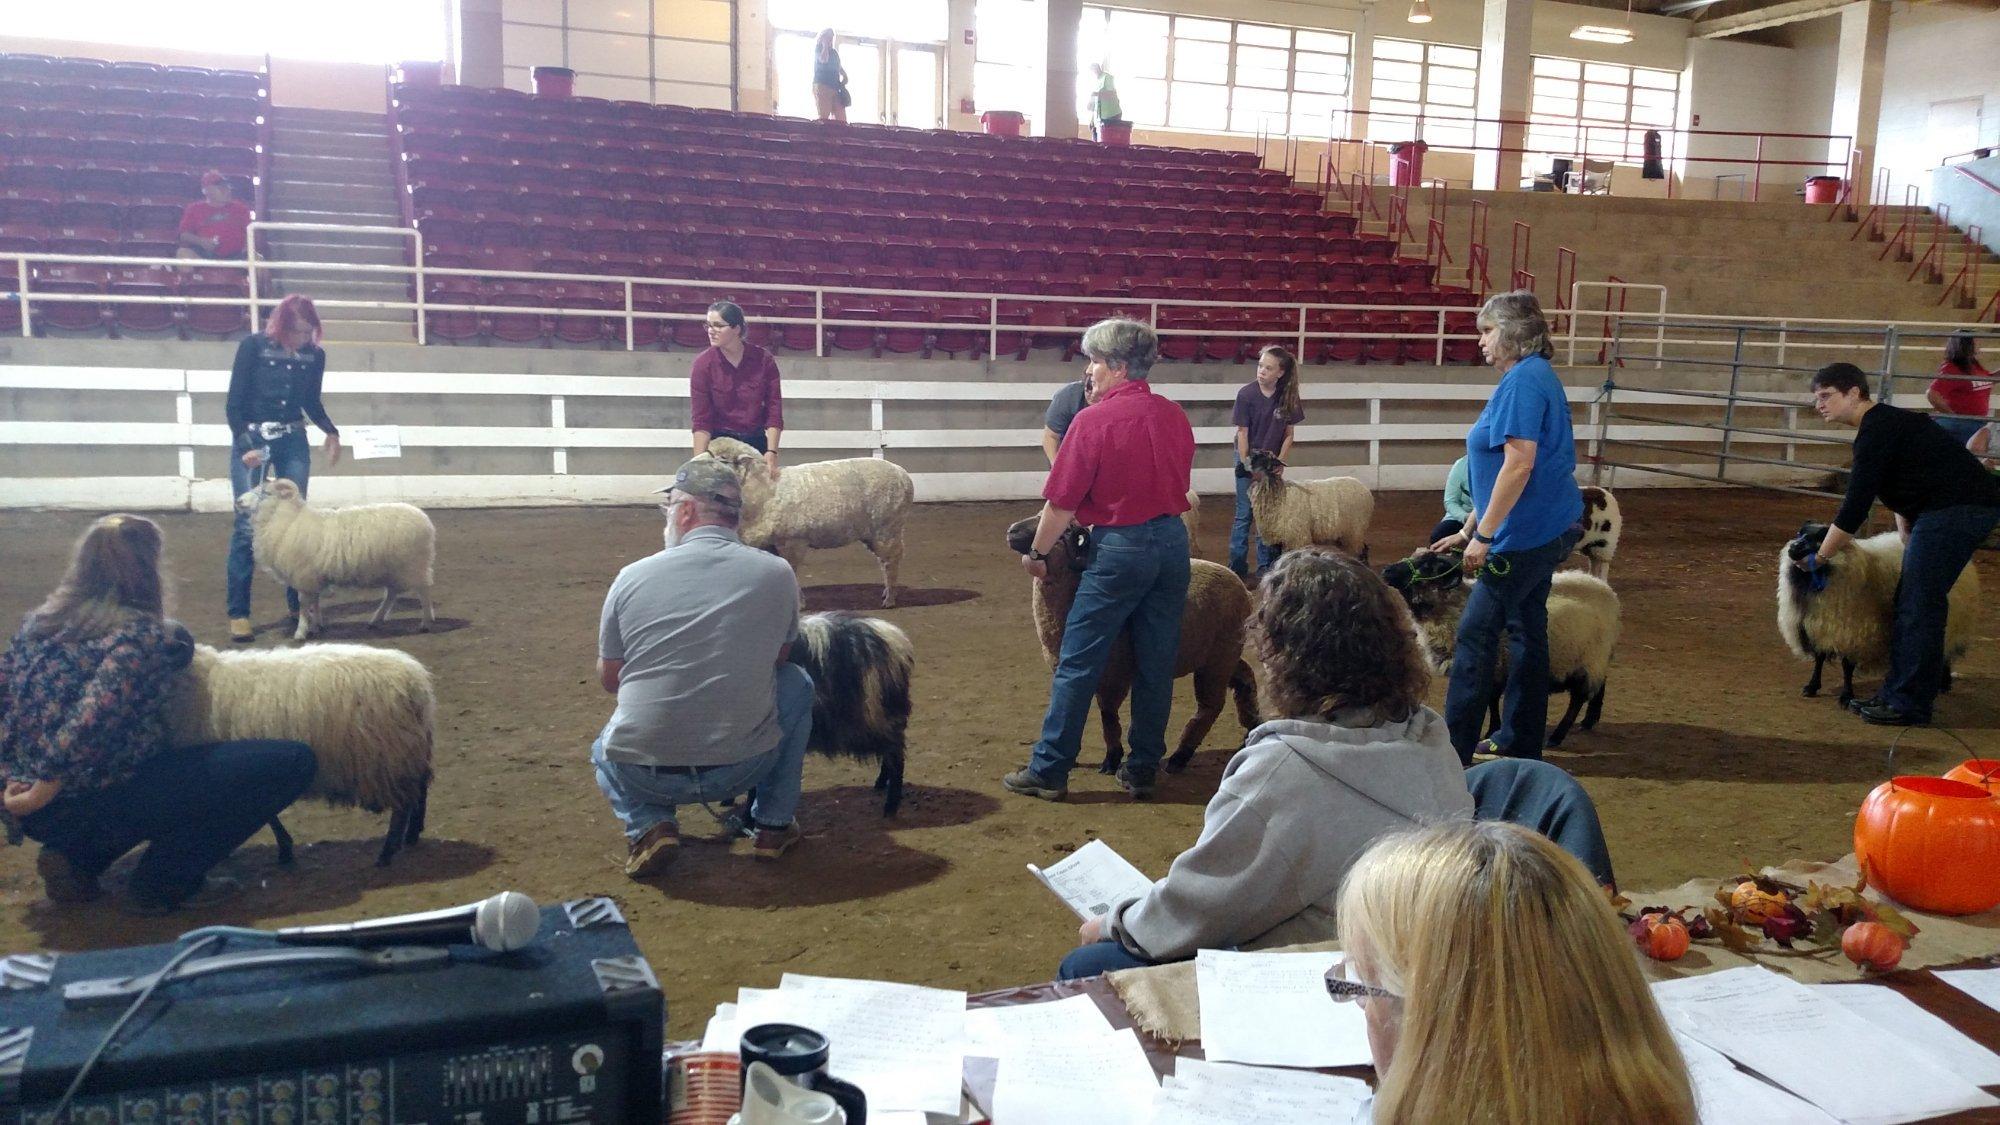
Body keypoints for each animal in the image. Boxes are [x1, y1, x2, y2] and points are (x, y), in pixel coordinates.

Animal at [171, 640, 438, 868]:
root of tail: (416, 684)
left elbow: (266, 816)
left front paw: (283, 850)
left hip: (390, 757)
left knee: (403, 806)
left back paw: (387, 852)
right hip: (409, 751)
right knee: (420, 790)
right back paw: (412, 834)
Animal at [243, 476, 438, 644]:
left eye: (266, 492)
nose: (238, 501)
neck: (288, 521)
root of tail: (425, 519)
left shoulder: (304, 575)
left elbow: (304, 605)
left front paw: (301, 631)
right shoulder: (313, 576)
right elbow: (315, 601)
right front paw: (317, 626)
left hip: (413, 565)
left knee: (424, 591)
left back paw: (426, 623)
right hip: (394, 568)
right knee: (392, 593)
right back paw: (376, 620)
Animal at [1392, 548, 1624, 748]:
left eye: (1427, 566)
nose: (1387, 571)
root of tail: (1608, 591)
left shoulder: (1495, 663)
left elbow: (1491, 700)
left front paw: (1491, 730)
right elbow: (1492, 701)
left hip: (1588, 658)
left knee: (1578, 699)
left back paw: (1558, 735)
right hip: (1597, 658)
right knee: (1601, 684)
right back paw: (1589, 720)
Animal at [1776, 520, 1976, 700]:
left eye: (1818, 538)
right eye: (1800, 533)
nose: (1793, 547)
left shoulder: (1852, 631)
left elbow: (1847, 665)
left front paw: (1846, 695)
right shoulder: (1819, 627)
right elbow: (1819, 660)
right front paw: (1812, 686)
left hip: (1954, 618)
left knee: (1947, 652)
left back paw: (1944, 683)